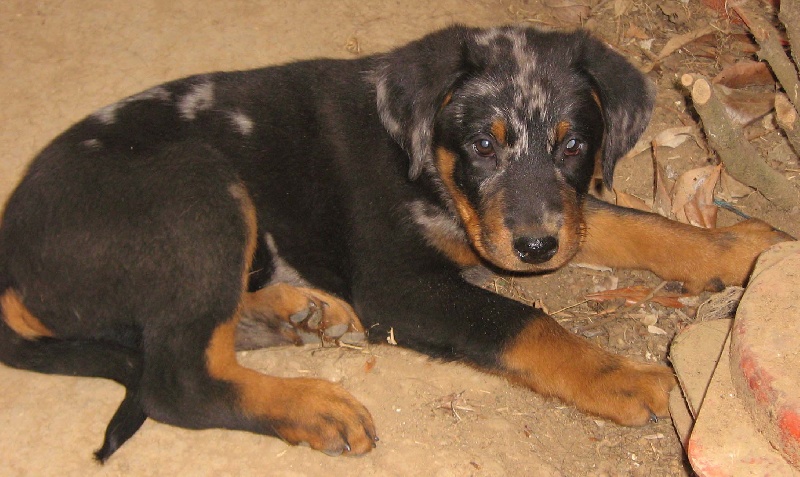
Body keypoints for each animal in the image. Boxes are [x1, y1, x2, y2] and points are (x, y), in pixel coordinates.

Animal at [0, 25, 791, 461]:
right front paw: (616, 374)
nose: (536, 249)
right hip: (197, 185)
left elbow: (630, 222)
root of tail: (12, 253)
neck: (426, 168)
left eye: (573, 145)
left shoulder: (559, 210)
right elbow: (521, 319)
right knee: (176, 378)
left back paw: (295, 315)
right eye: (482, 144)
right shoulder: (397, 285)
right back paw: (311, 405)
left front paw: (739, 249)